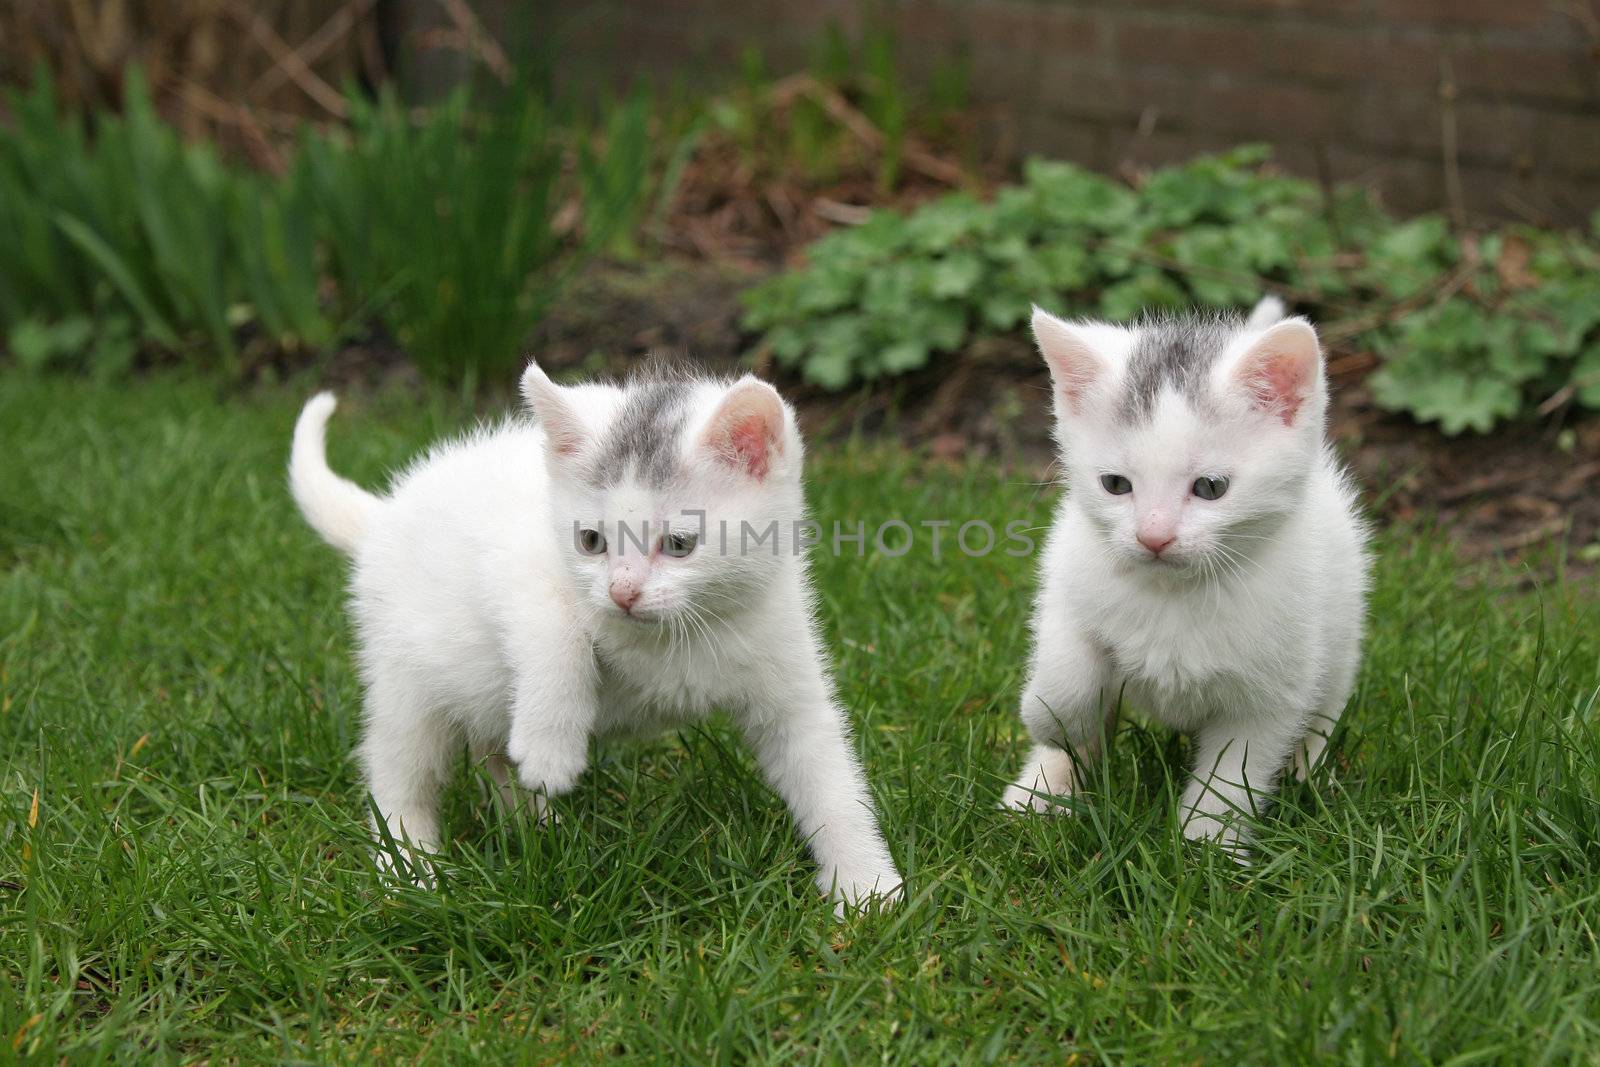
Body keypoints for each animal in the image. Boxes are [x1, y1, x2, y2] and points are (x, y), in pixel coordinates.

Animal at [289, 364, 908, 908]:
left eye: (679, 544)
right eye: (590, 541)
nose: (622, 593)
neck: (669, 641)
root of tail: (382, 517)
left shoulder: (785, 661)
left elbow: (827, 776)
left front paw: (867, 888)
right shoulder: (516, 565)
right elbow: (554, 629)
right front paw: (550, 746)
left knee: (489, 745)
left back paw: (534, 824)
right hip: (404, 675)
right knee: (398, 773)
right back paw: (409, 871)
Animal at [1004, 295, 1369, 857]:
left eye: (1210, 487)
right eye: (1115, 485)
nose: (1153, 537)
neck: (1173, 591)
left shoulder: (1273, 688)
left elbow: (1235, 769)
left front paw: (1206, 845)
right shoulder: (1068, 581)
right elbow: (1066, 672)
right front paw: (1054, 723)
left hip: (1342, 627)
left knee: (1326, 702)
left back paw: (1309, 771)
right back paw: (1044, 787)